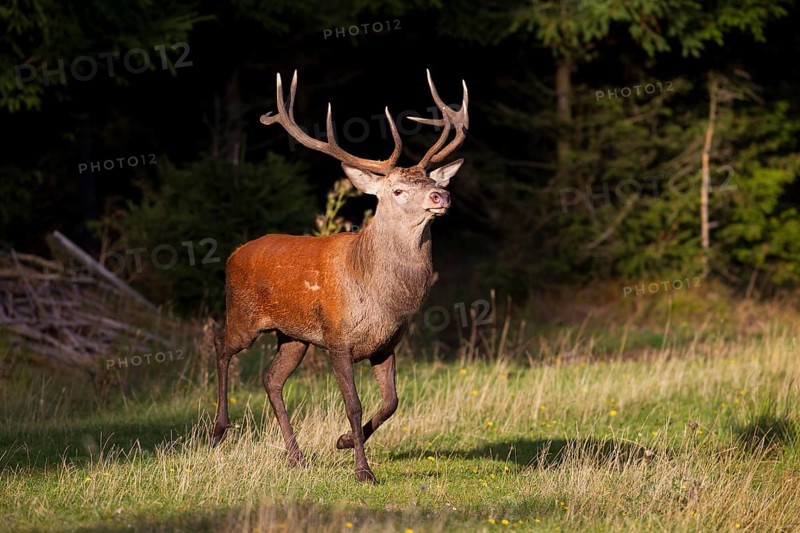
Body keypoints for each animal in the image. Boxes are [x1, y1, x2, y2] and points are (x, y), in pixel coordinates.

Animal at [210, 69, 468, 483]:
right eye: (398, 190)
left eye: (434, 182)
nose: (440, 197)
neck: (383, 298)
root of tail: (234, 253)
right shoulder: (337, 339)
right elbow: (355, 404)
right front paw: (363, 470)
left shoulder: (386, 344)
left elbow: (391, 402)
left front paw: (344, 441)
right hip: (245, 315)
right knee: (221, 345)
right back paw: (219, 430)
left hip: (294, 336)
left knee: (271, 379)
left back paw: (296, 456)